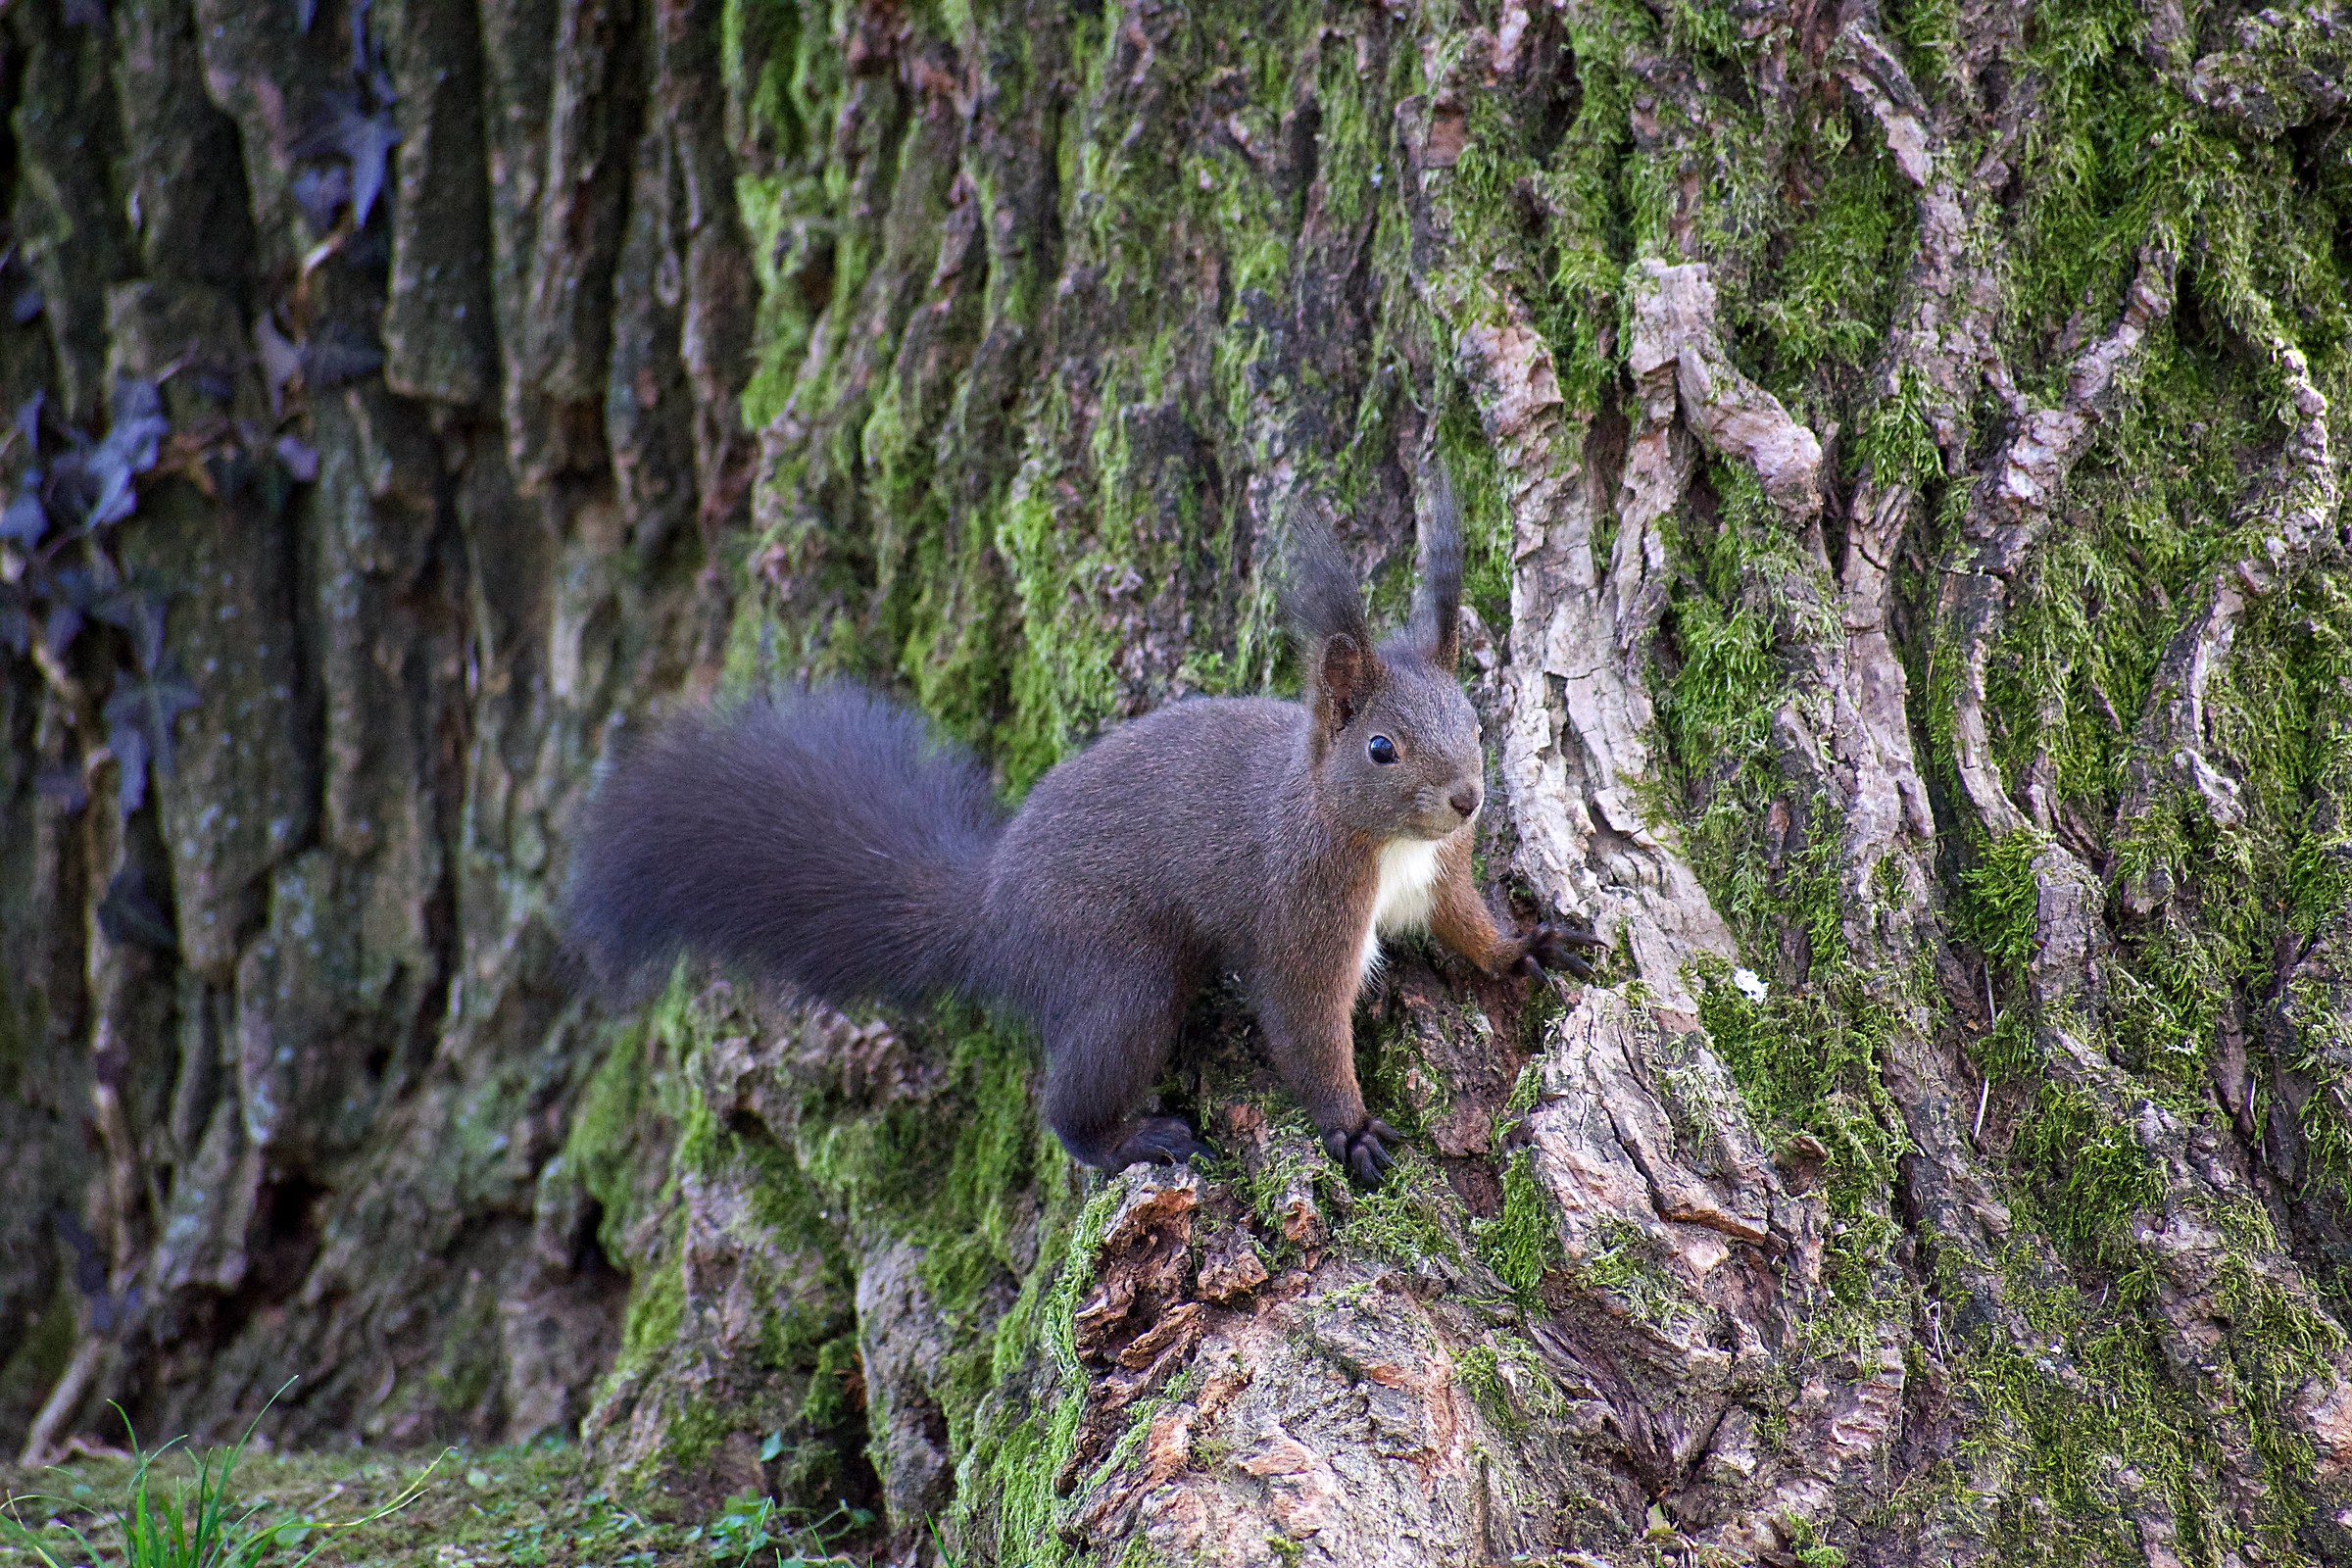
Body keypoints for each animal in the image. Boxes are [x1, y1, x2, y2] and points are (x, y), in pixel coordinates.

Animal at [565, 463, 1605, 1186]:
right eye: (1382, 748)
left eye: (1473, 718)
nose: (1468, 799)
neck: (1376, 838)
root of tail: (991, 912)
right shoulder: (1302, 911)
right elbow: (1304, 1024)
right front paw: (1350, 1129)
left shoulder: (1440, 873)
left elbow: (1465, 925)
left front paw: (1529, 946)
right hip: (1120, 973)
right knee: (1074, 1097)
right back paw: (1134, 1139)